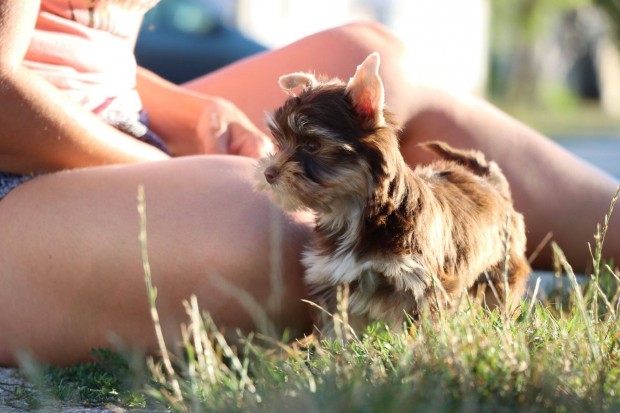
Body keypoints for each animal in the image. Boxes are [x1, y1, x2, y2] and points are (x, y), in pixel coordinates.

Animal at [254, 52, 532, 334]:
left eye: (312, 146)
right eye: (280, 142)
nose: (269, 173)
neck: (355, 214)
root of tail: (489, 181)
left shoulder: (419, 285)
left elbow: (418, 327)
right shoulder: (334, 280)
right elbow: (339, 329)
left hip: (502, 266)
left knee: (499, 297)